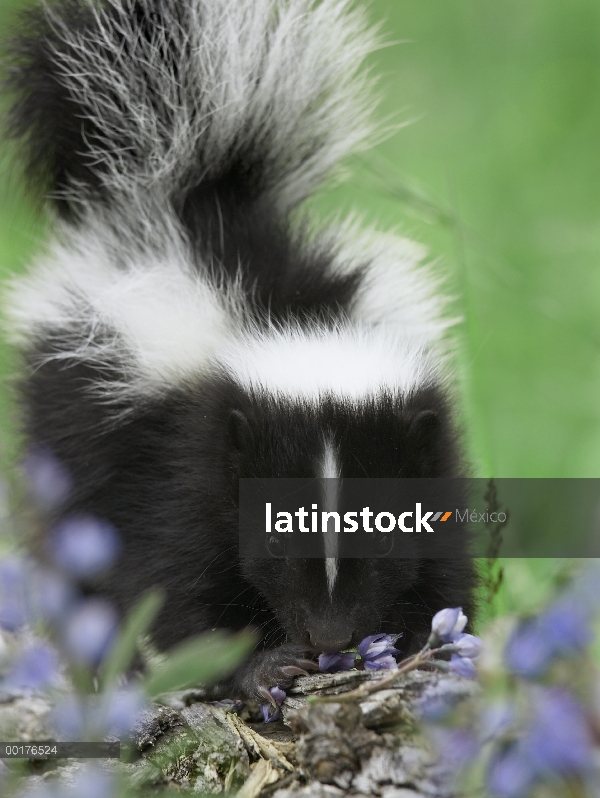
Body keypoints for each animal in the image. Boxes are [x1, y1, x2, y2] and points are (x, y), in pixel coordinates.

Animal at [2, 0, 476, 700]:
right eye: (276, 542)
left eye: (386, 543)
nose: (329, 636)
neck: (291, 323)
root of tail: (186, 197)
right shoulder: (181, 457)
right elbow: (175, 578)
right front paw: (261, 665)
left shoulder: (433, 452)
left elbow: (446, 565)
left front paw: (425, 646)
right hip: (69, 429)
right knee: (77, 559)